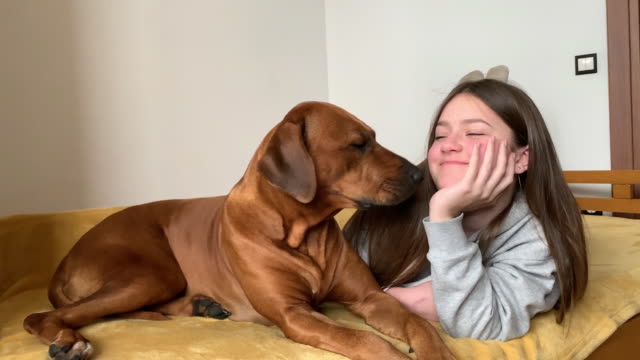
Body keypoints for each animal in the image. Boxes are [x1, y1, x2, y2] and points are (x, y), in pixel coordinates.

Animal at [23, 101, 456, 360]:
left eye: (373, 138)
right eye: (358, 144)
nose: (420, 175)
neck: (302, 231)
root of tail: (65, 261)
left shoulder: (369, 297)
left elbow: (418, 324)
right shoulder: (294, 315)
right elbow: (367, 340)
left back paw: (202, 306)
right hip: (151, 272)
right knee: (41, 316)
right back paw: (67, 342)